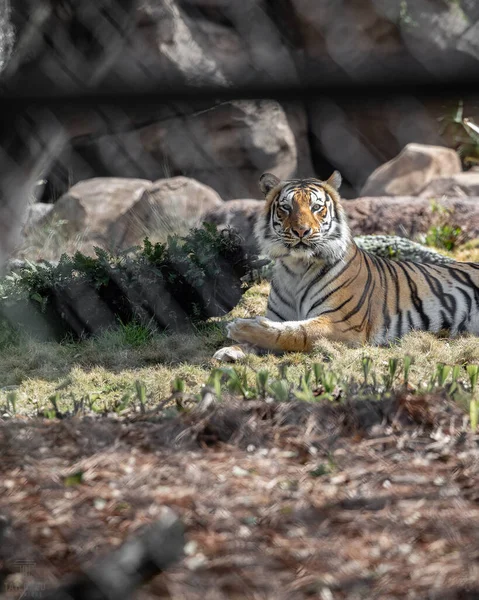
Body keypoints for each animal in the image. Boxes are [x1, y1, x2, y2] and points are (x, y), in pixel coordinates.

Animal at [227, 170, 479, 352]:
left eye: (316, 207)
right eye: (286, 208)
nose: (301, 231)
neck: (296, 268)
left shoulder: (342, 323)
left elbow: (294, 333)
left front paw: (241, 327)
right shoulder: (279, 316)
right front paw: (231, 351)